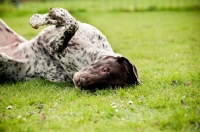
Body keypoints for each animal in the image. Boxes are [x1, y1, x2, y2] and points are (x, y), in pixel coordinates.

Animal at [0, 7, 140, 89]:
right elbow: (67, 21)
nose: (80, 83)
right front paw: (38, 19)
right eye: (104, 69)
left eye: (103, 86)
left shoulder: (54, 47)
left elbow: (72, 25)